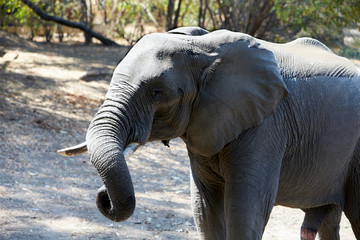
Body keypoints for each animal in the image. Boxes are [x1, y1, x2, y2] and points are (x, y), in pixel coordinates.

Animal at [57, 27, 360, 239]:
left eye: (157, 92)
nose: (103, 196)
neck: (202, 48)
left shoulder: (266, 127)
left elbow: (244, 213)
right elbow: (205, 210)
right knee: (329, 221)